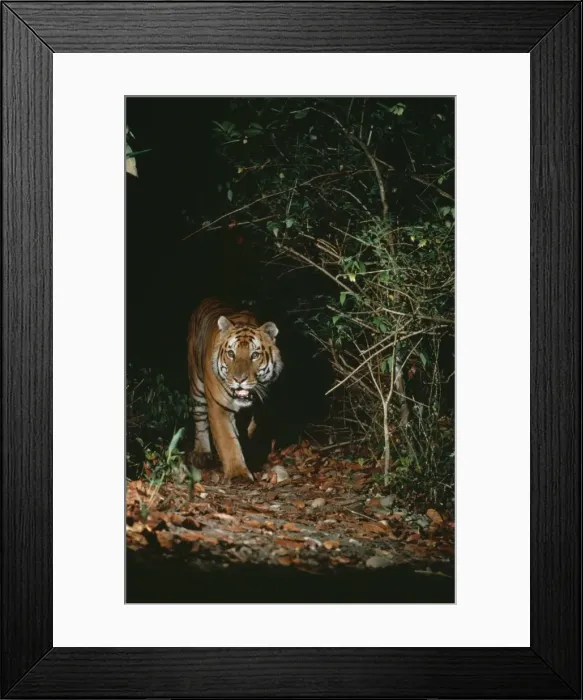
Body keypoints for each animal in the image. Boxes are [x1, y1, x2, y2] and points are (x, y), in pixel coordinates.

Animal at [187, 298, 283, 481]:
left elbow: (250, 431)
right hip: (197, 385)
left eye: (255, 355)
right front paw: (237, 473)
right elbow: (227, 440)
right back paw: (202, 454)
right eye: (231, 354)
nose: (239, 380)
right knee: (199, 418)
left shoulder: (259, 407)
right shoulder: (218, 407)